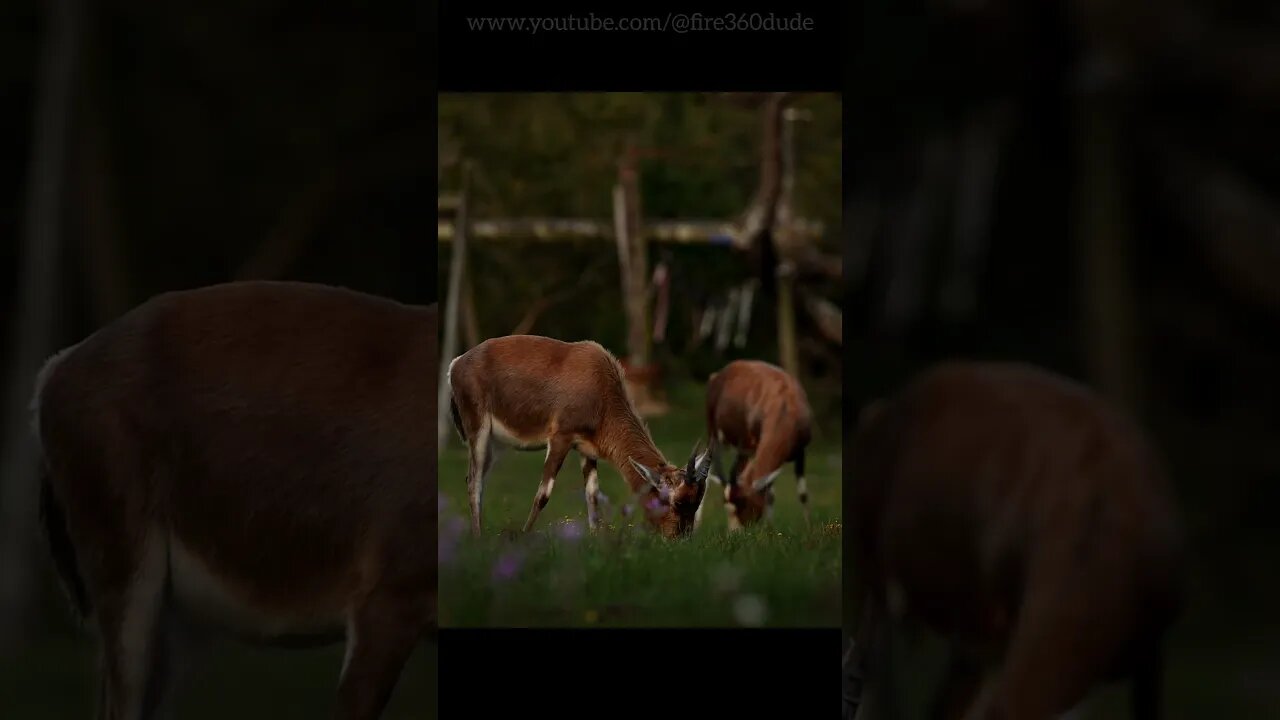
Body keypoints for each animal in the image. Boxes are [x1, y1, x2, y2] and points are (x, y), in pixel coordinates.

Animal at [448, 333, 711, 535]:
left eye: (697, 501)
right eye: (677, 501)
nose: (679, 538)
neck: (599, 383)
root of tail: (456, 364)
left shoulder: (587, 449)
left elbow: (592, 495)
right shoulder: (560, 437)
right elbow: (543, 495)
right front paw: (524, 536)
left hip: (495, 444)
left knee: (477, 479)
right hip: (478, 430)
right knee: (474, 482)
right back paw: (478, 538)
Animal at [701, 356, 808, 527]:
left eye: (743, 501)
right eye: (727, 504)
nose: (735, 531)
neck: (784, 403)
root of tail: (717, 375)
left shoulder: (801, 451)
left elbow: (800, 494)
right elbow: (769, 494)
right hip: (716, 437)